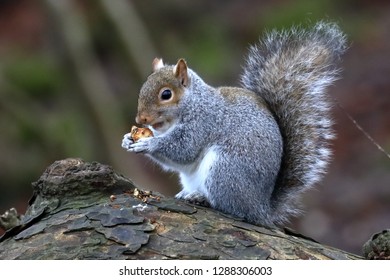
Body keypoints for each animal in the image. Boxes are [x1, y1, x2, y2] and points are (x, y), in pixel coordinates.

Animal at [122, 21, 348, 228]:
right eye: (144, 85)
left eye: (166, 94)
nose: (140, 120)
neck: (193, 103)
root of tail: (261, 209)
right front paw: (127, 140)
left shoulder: (204, 122)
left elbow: (184, 150)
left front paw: (148, 144)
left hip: (225, 170)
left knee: (232, 208)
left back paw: (201, 198)